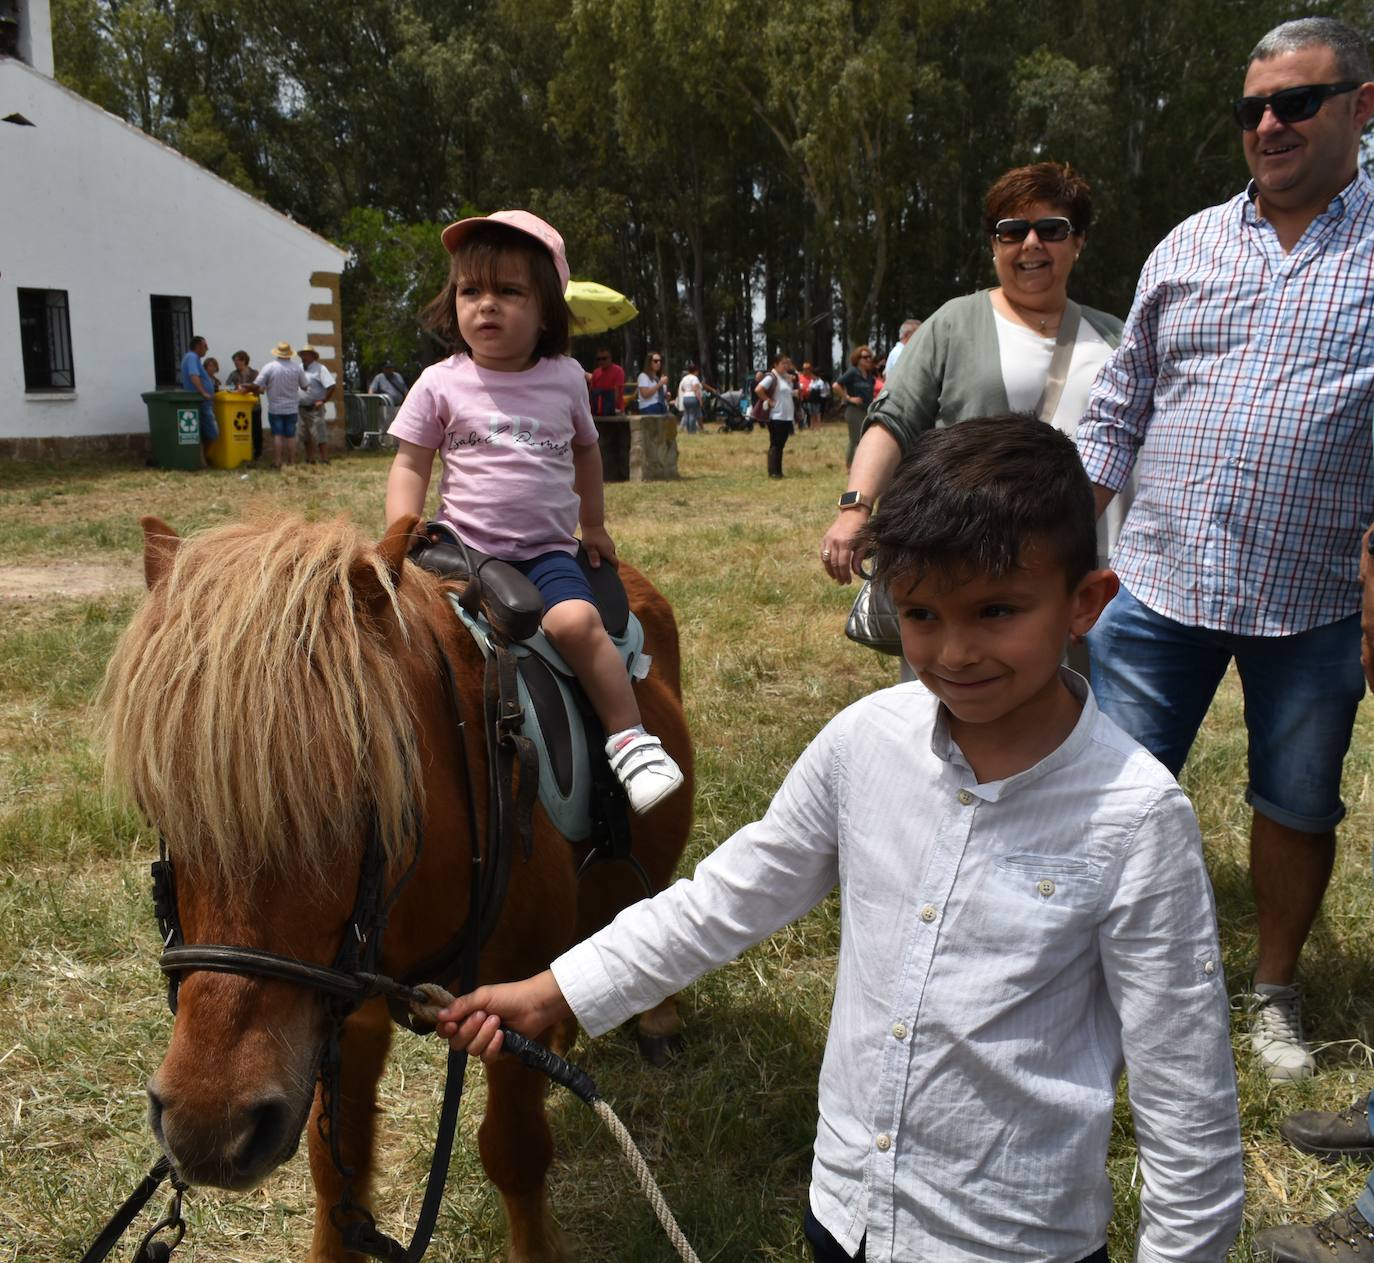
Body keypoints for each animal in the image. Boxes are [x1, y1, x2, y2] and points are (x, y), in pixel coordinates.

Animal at [104, 513, 697, 1263]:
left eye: (354, 806)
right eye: (162, 811)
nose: (209, 1123)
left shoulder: (504, 999)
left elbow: (515, 1150)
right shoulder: (340, 1011)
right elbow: (337, 1168)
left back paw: (658, 1021)